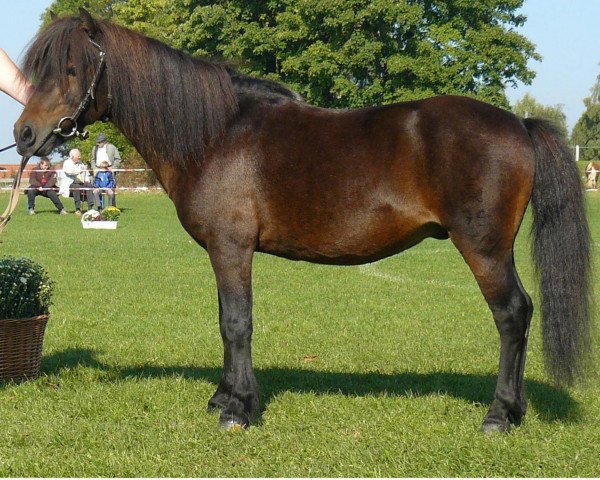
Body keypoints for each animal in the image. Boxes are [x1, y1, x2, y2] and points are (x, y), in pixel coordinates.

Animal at [15, 9, 596, 434]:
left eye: (72, 70)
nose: (24, 135)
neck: (216, 134)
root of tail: (517, 124)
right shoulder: (223, 252)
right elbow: (225, 321)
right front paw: (224, 397)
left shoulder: (231, 247)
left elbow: (236, 323)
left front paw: (238, 410)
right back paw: (514, 411)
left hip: (484, 249)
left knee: (513, 315)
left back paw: (499, 415)